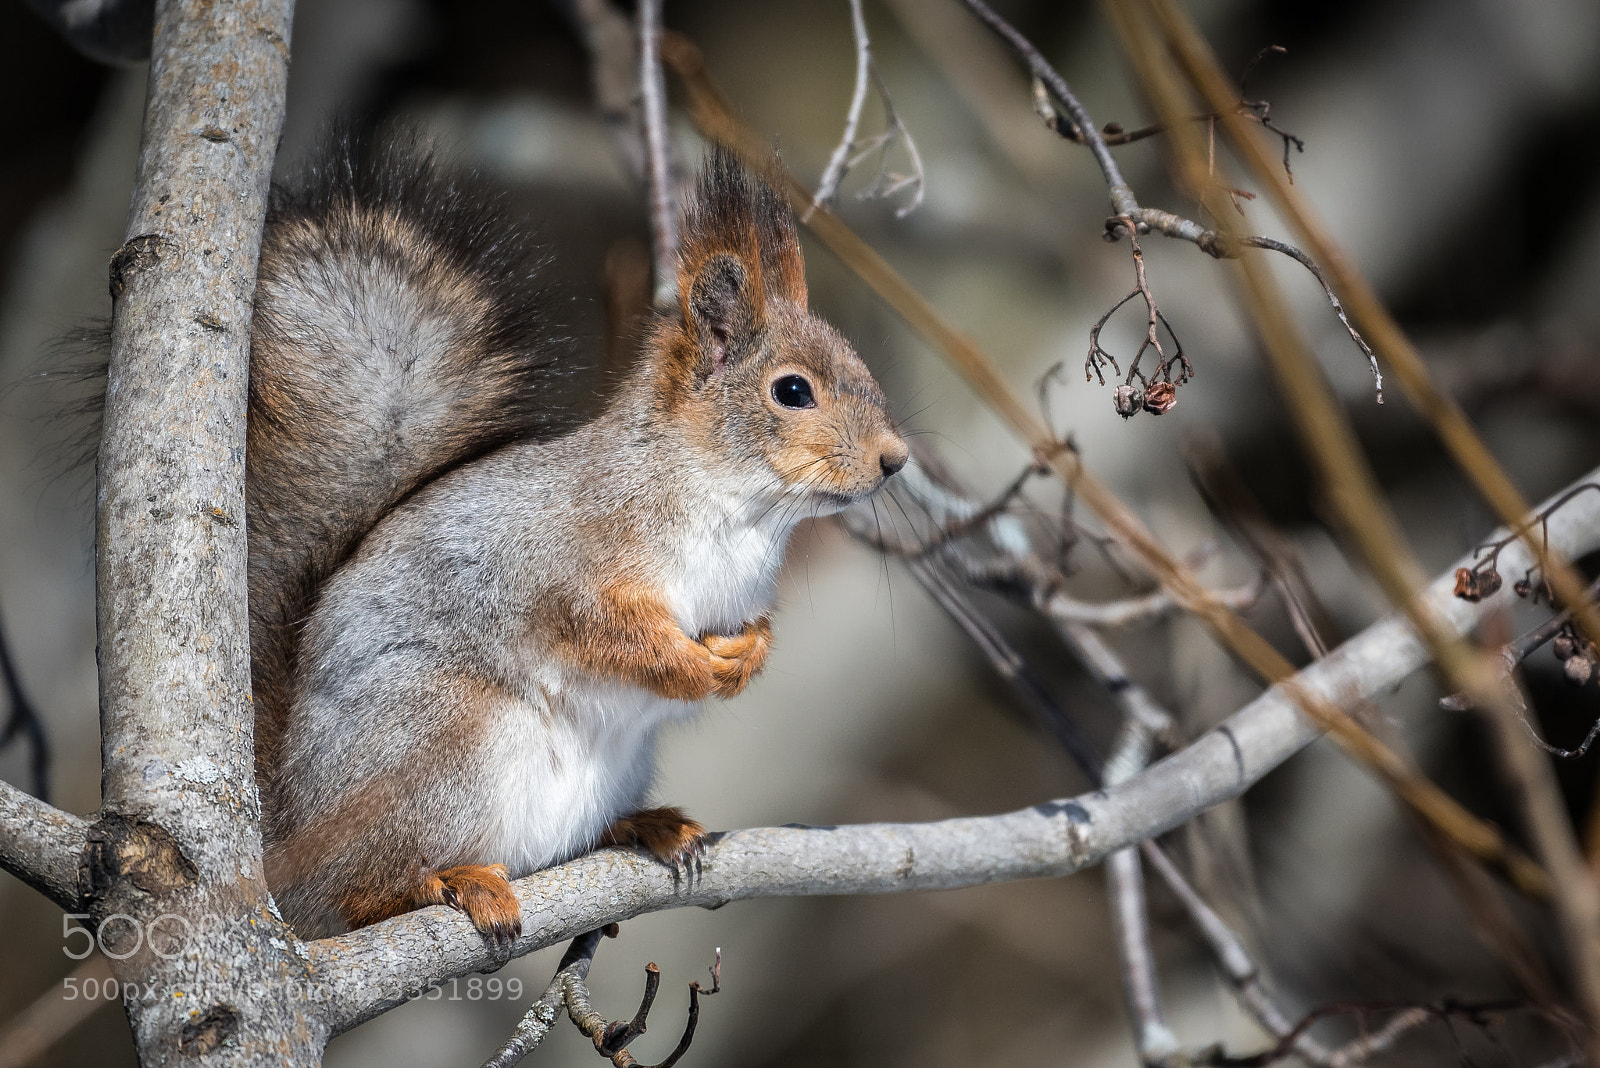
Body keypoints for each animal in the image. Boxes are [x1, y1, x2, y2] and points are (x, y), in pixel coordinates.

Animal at [241, 135, 908, 940]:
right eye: (792, 391)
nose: (895, 459)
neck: (735, 508)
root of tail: (291, 838)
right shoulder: (561, 564)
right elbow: (608, 634)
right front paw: (691, 669)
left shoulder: (735, 594)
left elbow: (754, 630)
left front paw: (744, 658)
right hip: (439, 746)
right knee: (363, 893)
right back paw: (451, 883)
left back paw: (646, 828)